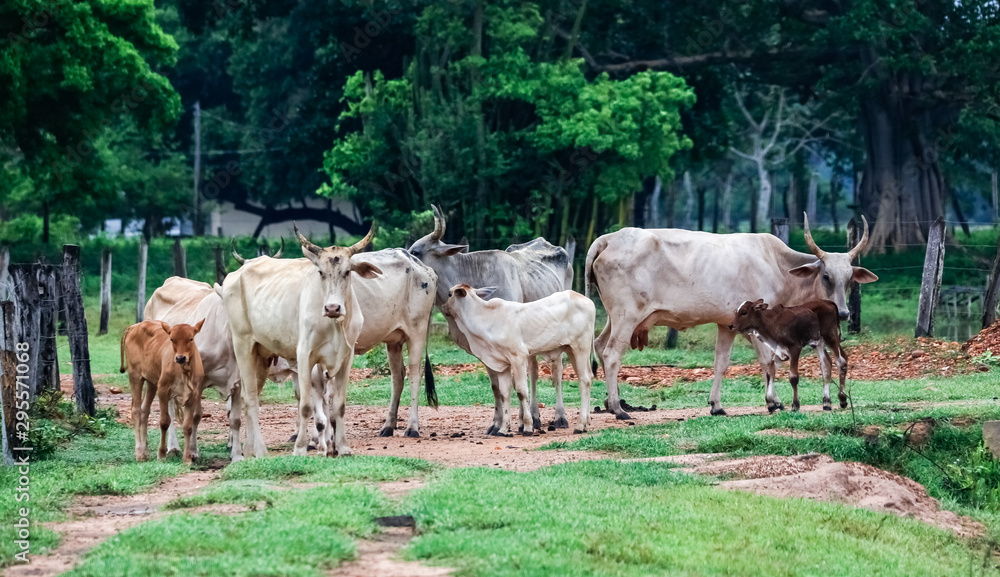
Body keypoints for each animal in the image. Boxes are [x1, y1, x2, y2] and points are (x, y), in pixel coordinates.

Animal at [120, 320, 206, 464]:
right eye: (172, 339)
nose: (180, 358)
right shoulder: (163, 390)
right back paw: (139, 453)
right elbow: (165, 422)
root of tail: (135, 326)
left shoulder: (194, 394)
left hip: (151, 382)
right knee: (136, 410)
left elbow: (188, 426)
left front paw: (187, 458)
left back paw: (145, 451)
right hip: (135, 376)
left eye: (191, 338)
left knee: (145, 410)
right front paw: (161, 454)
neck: (184, 372)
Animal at [221, 224, 380, 454]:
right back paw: (260, 450)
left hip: (262, 356)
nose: (332, 308)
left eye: (348, 271)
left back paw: (250, 450)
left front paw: (342, 448)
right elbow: (305, 406)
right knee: (250, 399)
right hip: (243, 345)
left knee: (251, 397)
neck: (334, 324)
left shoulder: (346, 357)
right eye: (320, 272)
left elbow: (339, 406)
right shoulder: (305, 356)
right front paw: (300, 448)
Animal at [584, 214, 876, 416]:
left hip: (615, 317)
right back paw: (618, 409)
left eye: (850, 279)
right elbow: (769, 361)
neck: (778, 267)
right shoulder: (761, 328)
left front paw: (716, 405)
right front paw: (773, 402)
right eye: (826, 276)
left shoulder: (727, 325)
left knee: (599, 344)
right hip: (627, 316)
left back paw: (612, 402)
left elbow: (721, 363)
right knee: (611, 354)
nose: (842, 313)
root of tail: (608, 239)